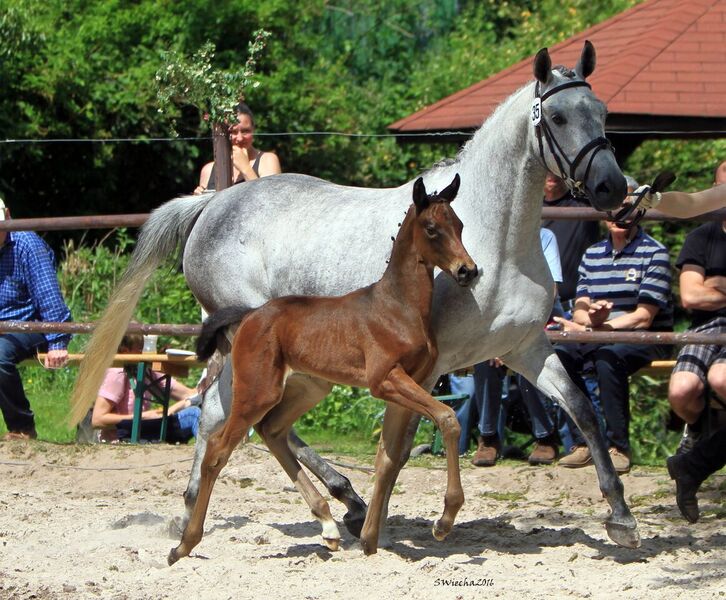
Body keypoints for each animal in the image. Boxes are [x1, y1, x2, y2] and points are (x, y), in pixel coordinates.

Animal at [170, 172, 478, 564]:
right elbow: (447, 419)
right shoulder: (385, 380)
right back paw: (183, 545)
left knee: (272, 431)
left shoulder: (414, 382)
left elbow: (391, 455)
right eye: (431, 228)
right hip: (258, 392)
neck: (398, 306)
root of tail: (250, 315)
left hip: (308, 388)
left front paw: (370, 539)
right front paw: (444, 520)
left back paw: (329, 527)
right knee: (217, 451)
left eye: (460, 225)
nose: (468, 271)